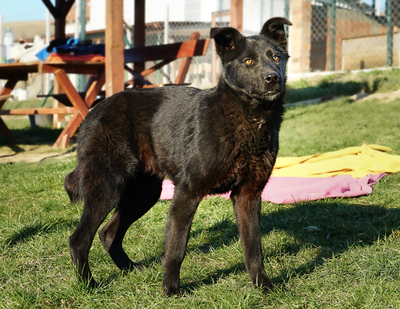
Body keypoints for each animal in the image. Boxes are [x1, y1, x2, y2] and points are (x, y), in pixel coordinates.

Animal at [65, 16, 290, 294]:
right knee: (78, 239)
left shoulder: (248, 195)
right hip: (107, 188)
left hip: (144, 193)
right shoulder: (187, 192)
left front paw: (263, 285)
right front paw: (171, 289)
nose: (273, 78)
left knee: (108, 233)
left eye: (276, 57)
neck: (249, 119)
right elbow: (176, 248)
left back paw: (130, 269)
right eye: (248, 61)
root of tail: (93, 112)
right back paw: (89, 285)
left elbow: (254, 248)